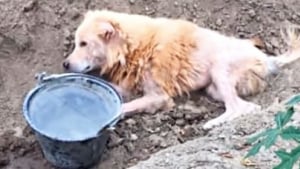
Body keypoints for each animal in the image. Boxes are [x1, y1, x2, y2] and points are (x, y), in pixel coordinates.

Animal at [62, 9, 300, 129]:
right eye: (76, 42)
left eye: (83, 44)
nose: (65, 64)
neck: (135, 45)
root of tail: (267, 58)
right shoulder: (128, 86)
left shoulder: (157, 96)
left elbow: (122, 107)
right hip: (214, 88)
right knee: (246, 106)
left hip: (219, 68)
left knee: (241, 108)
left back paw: (212, 124)